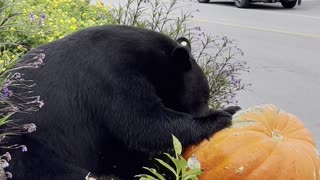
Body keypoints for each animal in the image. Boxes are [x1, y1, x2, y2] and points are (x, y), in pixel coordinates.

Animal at [5, 25, 239, 180]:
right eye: (204, 98)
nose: (206, 109)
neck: (152, 58)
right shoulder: (110, 76)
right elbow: (144, 122)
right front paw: (223, 115)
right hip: (28, 145)